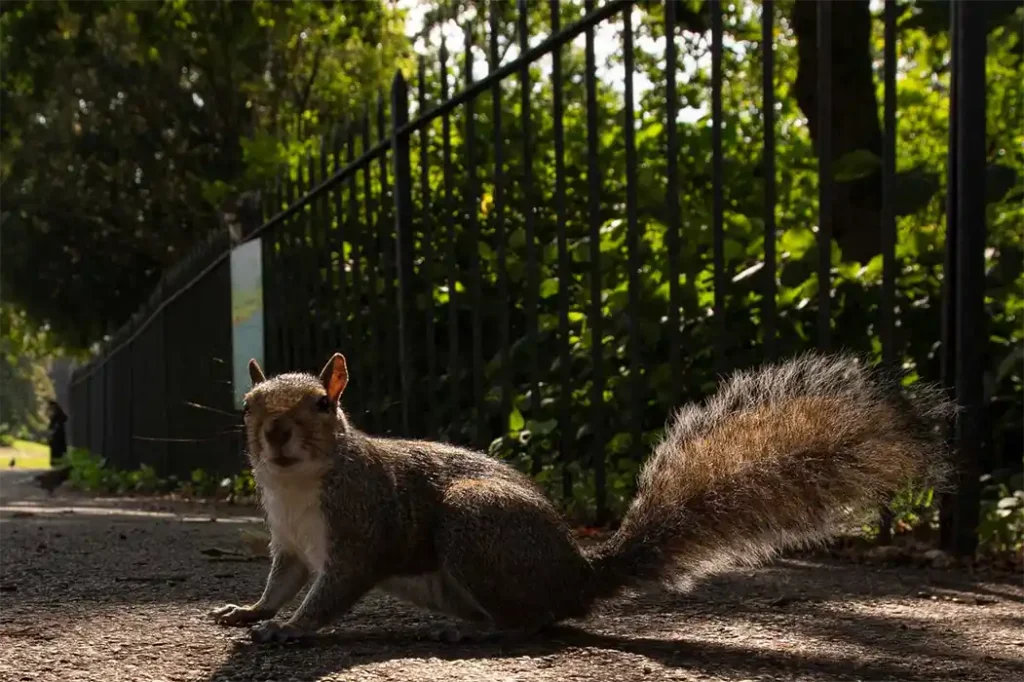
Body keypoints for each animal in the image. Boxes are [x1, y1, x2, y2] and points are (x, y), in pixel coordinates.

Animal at [211, 351, 954, 644]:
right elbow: (281, 582)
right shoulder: (289, 545)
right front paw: (250, 611)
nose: (274, 433)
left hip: (475, 524)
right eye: (246, 404)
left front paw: (289, 629)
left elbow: (330, 593)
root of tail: (579, 574)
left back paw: (477, 631)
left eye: (322, 403)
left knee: (533, 621)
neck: (296, 488)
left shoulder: (362, 530)